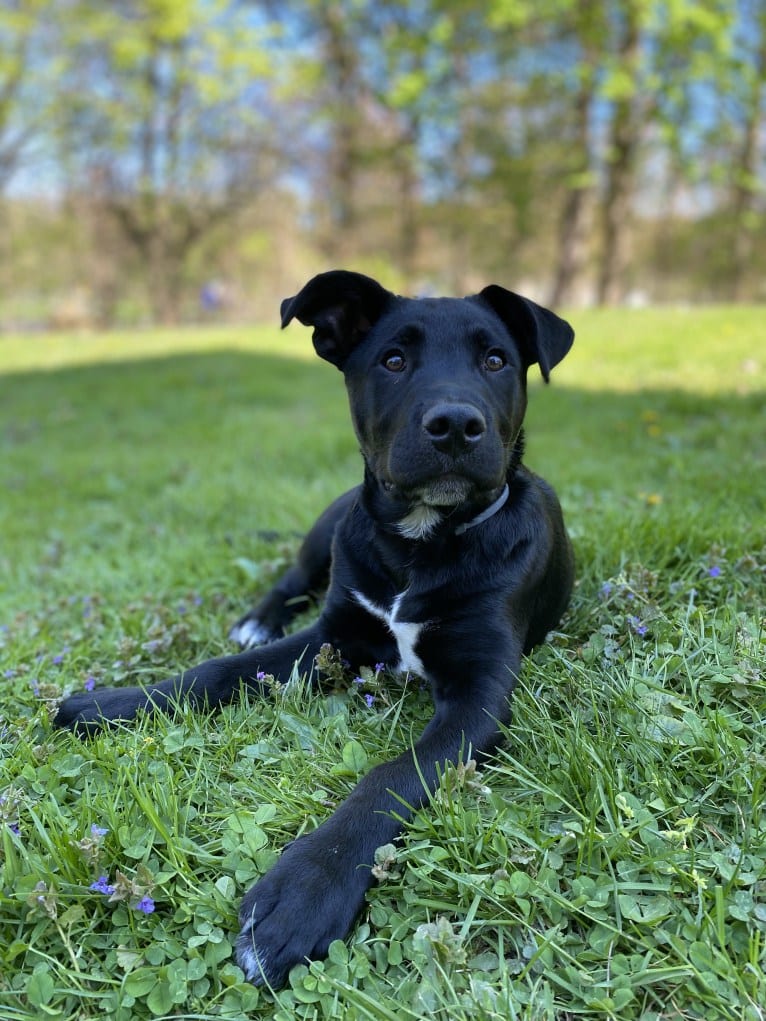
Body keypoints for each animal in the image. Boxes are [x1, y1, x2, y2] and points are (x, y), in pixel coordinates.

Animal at [56, 271, 576, 988]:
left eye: (496, 360)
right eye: (393, 359)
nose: (455, 425)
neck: (421, 544)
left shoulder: (481, 694)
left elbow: (391, 774)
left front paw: (305, 890)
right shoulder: (330, 634)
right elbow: (214, 670)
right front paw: (110, 703)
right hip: (326, 528)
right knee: (288, 579)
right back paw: (254, 619)